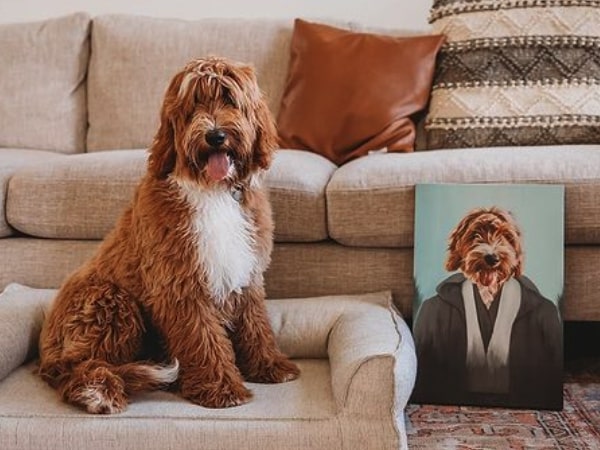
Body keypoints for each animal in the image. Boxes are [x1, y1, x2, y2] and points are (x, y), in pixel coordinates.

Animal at [38, 57, 300, 414]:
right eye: (194, 105)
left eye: (229, 99)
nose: (215, 135)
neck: (213, 190)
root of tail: (46, 349)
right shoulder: (180, 284)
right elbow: (202, 338)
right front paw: (222, 388)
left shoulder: (246, 272)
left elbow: (255, 322)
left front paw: (270, 365)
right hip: (110, 301)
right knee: (77, 367)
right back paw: (99, 390)